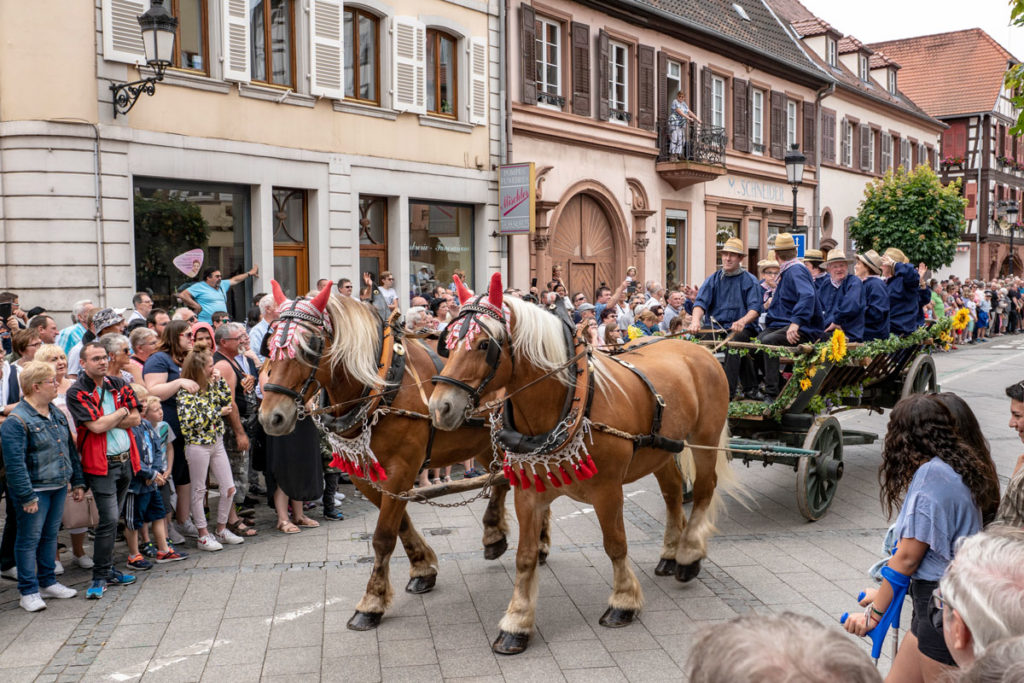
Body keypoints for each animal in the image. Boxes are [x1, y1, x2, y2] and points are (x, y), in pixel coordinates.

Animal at [256, 280, 532, 634]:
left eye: (309, 348)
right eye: (269, 347)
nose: (271, 417)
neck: (381, 384)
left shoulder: (402, 468)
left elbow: (383, 536)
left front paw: (371, 602)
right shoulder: (365, 472)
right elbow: (399, 524)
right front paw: (422, 569)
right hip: (486, 443)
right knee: (503, 481)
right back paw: (496, 535)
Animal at [425, 274, 737, 655]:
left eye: (484, 345)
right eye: (449, 343)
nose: (439, 407)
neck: (570, 402)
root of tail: (696, 348)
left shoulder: (607, 491)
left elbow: (615, 544)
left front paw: (623, 602)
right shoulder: (528, 494)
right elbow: (525, 556)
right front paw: (517, 622)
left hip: (704, 437)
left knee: (704, 489)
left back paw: (688, 556)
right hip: (660, 449)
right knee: (673, 493)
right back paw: (668, 554)